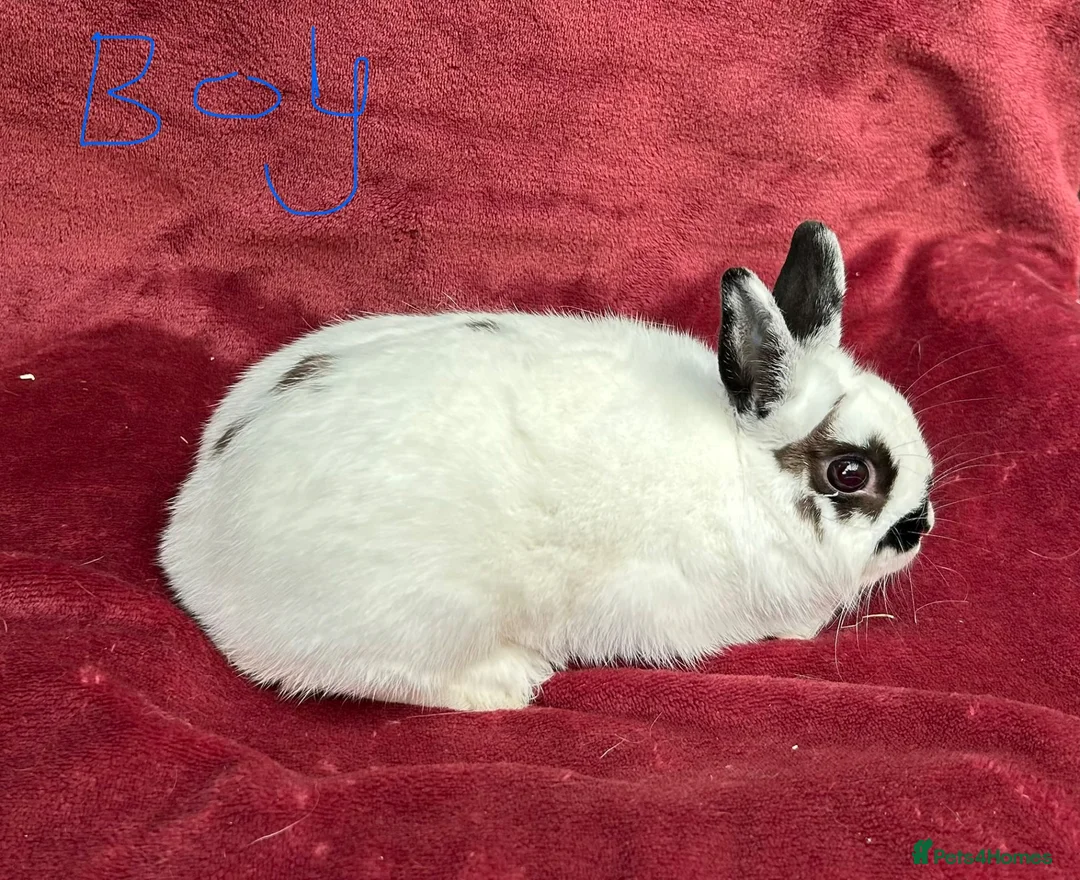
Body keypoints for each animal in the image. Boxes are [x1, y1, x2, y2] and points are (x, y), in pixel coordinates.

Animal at [159, 220, 935, 712]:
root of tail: (193, 552)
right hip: (427, 610)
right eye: (850, 474)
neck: (745, 472)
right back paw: (509, 680)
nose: (921, 524)